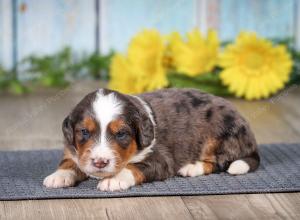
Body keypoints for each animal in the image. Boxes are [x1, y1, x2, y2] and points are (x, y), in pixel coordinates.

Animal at [43, 87, 258, 191]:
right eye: (84, 132)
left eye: (121, 134)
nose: (100, 162)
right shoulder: (73, 150)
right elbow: (69, 161)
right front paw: (59, 176)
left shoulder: (161, 159)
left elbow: (133, 167)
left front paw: (114, 180)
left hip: (221, 136)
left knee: (220, 162)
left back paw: (192, 167)